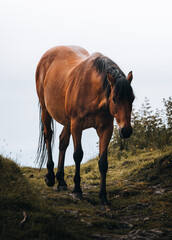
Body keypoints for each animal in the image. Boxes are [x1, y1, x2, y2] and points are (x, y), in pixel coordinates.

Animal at [35, 46, 134, 207]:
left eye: (132, 98)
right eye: (114, 99)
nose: (126, 131)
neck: (92, 90)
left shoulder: (106, 129)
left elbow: (103, 162)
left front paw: (103, 197)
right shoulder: (77, 125)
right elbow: (78, 155)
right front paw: (77, 190)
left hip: (67, 121)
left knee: (62, 141)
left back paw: (61, 181)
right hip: (46, 110)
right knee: (48, 135)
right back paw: (50, 177)